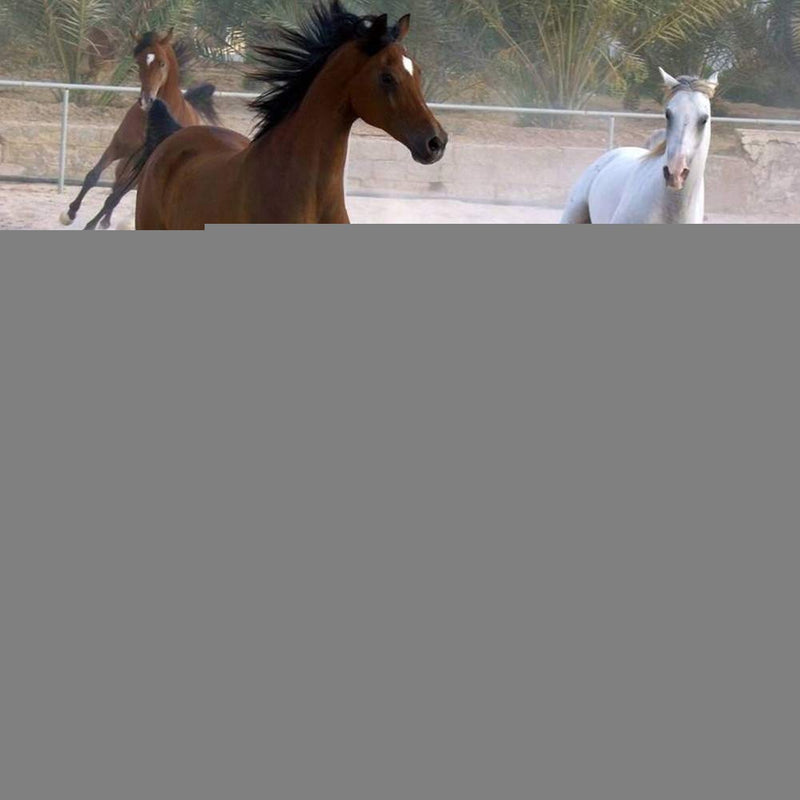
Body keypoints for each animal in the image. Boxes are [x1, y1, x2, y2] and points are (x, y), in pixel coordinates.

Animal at [59, 29, 219, 230]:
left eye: (162, 63)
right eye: (139, 62)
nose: (146, 100)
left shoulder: (145, 161)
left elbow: (114, 198)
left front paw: (89, 225)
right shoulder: (118, 146)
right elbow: (92, 176)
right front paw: (70, 214)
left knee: (118, 193)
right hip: (127, 163)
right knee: (117, 184)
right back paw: (105, 221)